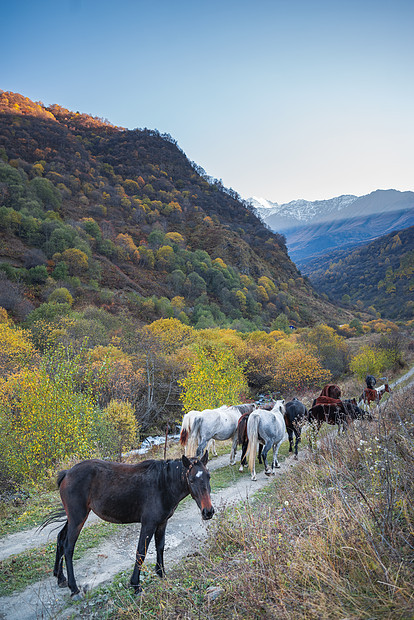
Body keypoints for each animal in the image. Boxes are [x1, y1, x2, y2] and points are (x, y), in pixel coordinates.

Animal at [42, 452, 213, 600]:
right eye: (191, 480)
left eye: (208, 477)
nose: (208, 512)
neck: (163, 484)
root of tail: (67, 474)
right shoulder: (148, 524)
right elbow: (141, 552)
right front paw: (136, 585)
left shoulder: (162, 523)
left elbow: (160, 547)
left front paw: (161, 574)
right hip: (78, 518)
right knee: (68, 547)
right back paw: (74, 588)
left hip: (74, 518)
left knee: (60, 538)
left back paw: (60, 577)